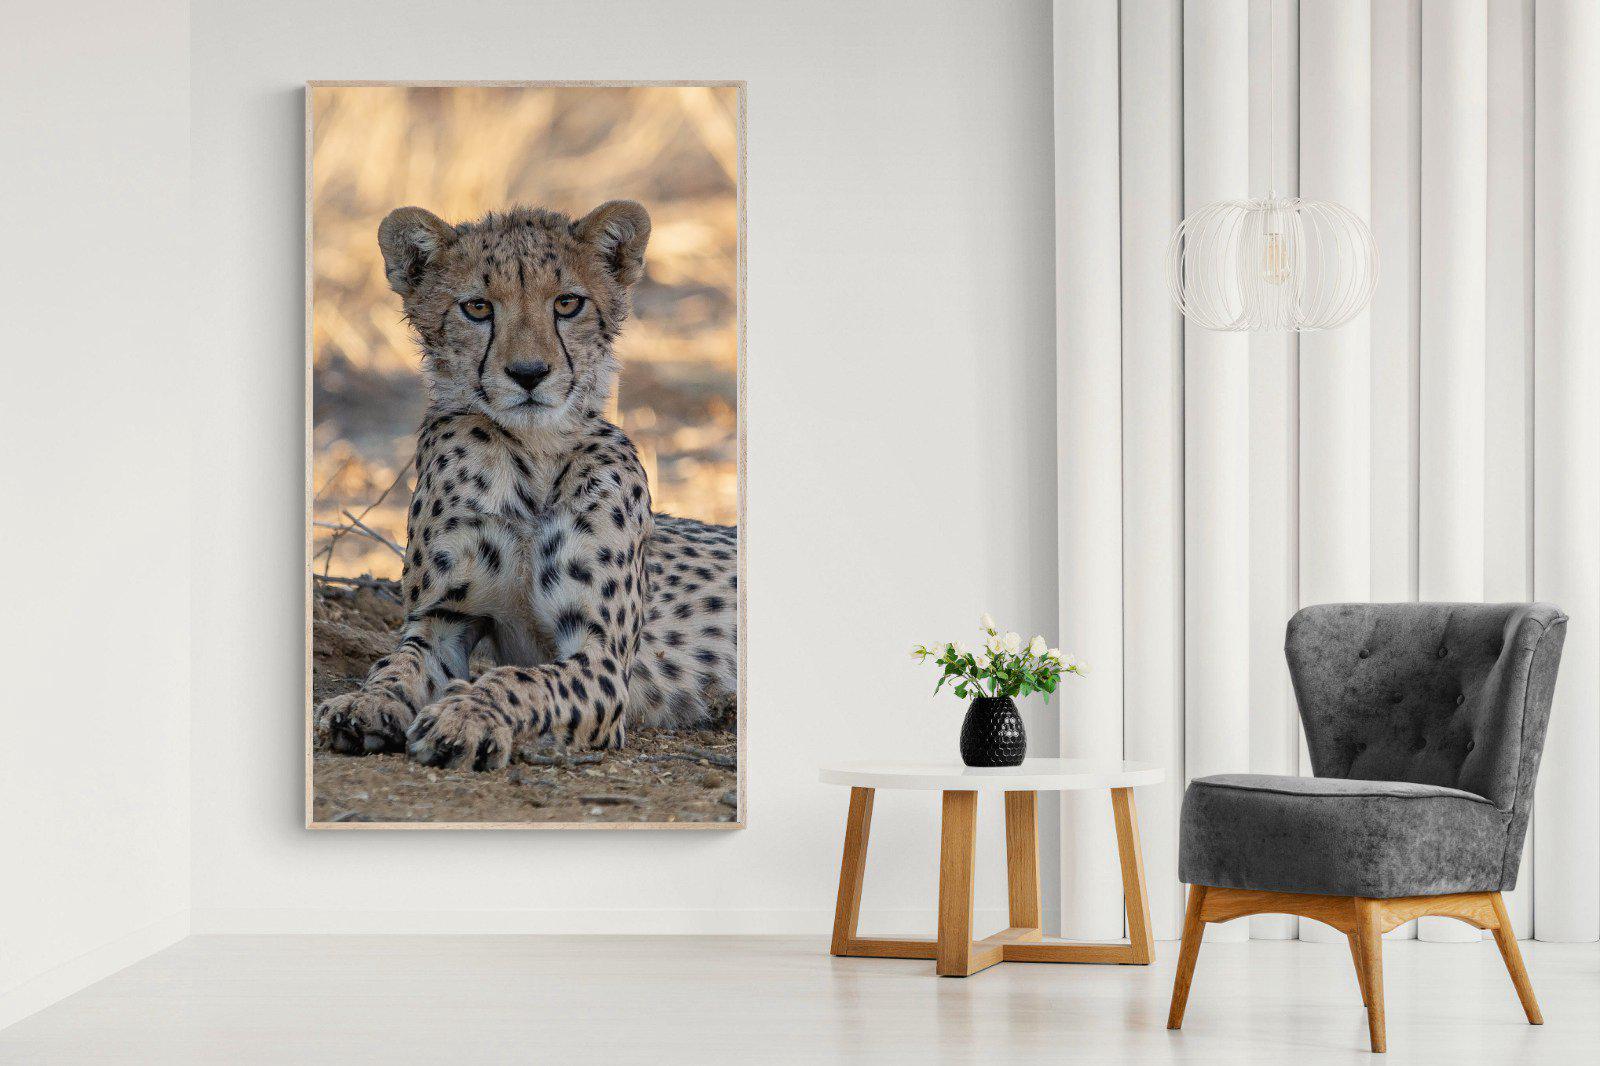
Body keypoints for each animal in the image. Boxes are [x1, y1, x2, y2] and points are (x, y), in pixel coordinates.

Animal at [313, 200, 738, 772]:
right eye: (477, 308)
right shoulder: (443, 620)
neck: (532, 456)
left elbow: (522, 680)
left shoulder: (601, 658)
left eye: (567, 303)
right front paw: (365, 703)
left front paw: (465, 716)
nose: (529, 373)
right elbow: (396, 664)